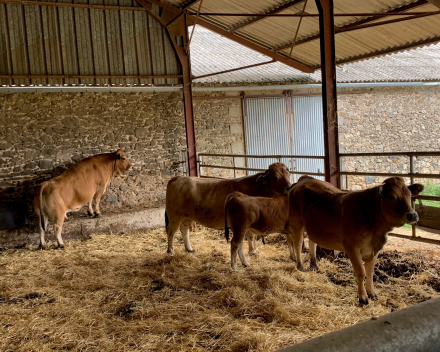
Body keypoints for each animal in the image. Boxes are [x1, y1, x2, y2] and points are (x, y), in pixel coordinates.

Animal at [288, 176, 424, 306]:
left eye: (409, 195)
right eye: (392, 197)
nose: (413, 215)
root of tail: (305, 180)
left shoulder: (375, 249)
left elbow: (370, 272)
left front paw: (372, 293)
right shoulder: (352, 247)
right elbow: (361, 272)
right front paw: (362, 298)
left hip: (312, 226)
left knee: (312, 242)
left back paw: (314, 264)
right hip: (297, 222)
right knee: (298, 243)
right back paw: (300, 265)